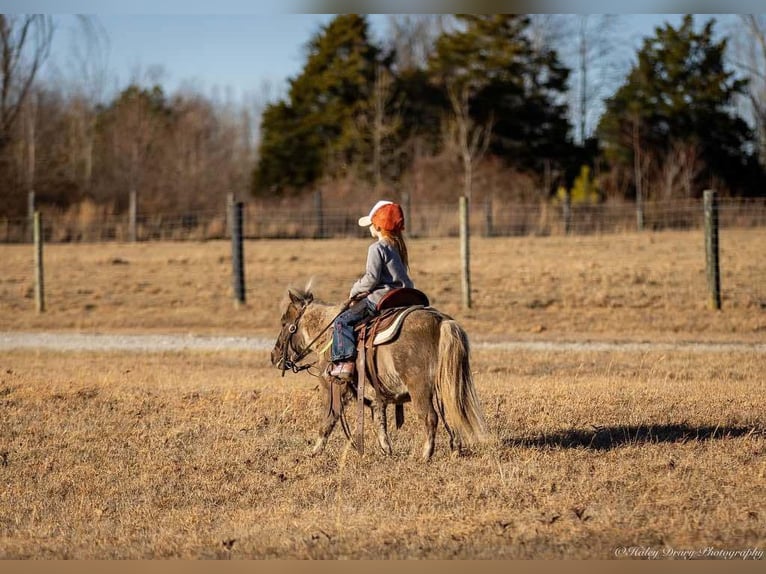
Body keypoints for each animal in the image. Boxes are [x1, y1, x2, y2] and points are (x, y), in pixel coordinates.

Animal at [270, 288, 486, 464]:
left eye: (284, 323)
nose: (274, 356)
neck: (327, 334)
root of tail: (441, 321)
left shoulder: (333, 388)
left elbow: (328, 420)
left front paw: (314, 452)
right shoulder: (375, 398)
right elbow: (380, 424)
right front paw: (387, 452)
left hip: (420, 390)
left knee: (430, 417)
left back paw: (425, 455)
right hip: (447, 386)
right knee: (452, 414)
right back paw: (455, 450)